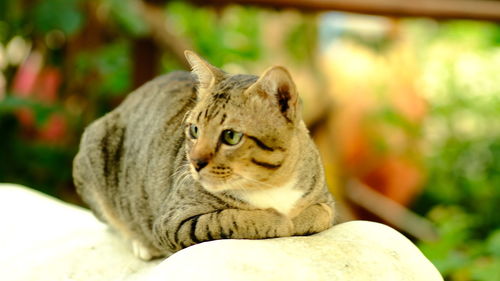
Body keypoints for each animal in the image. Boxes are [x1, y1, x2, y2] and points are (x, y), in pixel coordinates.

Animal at [72, 50, 336, 260]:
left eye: (231, 136)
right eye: (194, 130)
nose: (195, 163)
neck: (269, 183)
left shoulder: (325, 198)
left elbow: (322, 213)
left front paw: (298, 218)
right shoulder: (172, 221)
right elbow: (229, 219)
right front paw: (278, 221)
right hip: (93, 150)